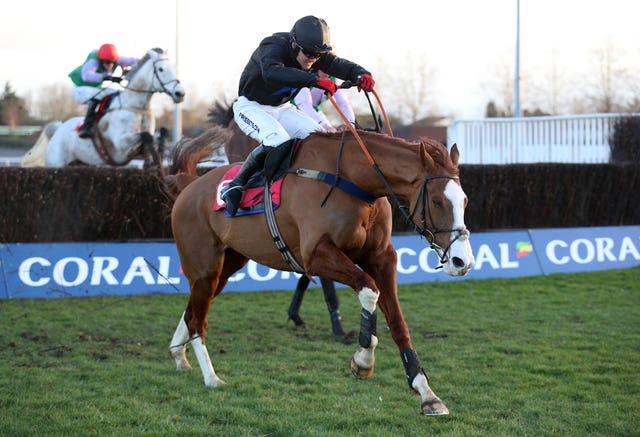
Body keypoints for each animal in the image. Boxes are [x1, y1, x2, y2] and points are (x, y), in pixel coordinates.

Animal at [166, 129, 476, 412]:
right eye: (437, 201)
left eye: (464, 200)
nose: (462, 261)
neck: (354, 182)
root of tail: (190, 186)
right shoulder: (315, 255)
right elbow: (369, 290)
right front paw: (363, 360)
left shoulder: (381, 257)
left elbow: (399, 324)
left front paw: (426, 392)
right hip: (205, 268)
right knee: (198, 320)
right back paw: (211, 377)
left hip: (228, 264)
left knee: (193, 310)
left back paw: (179, 355)